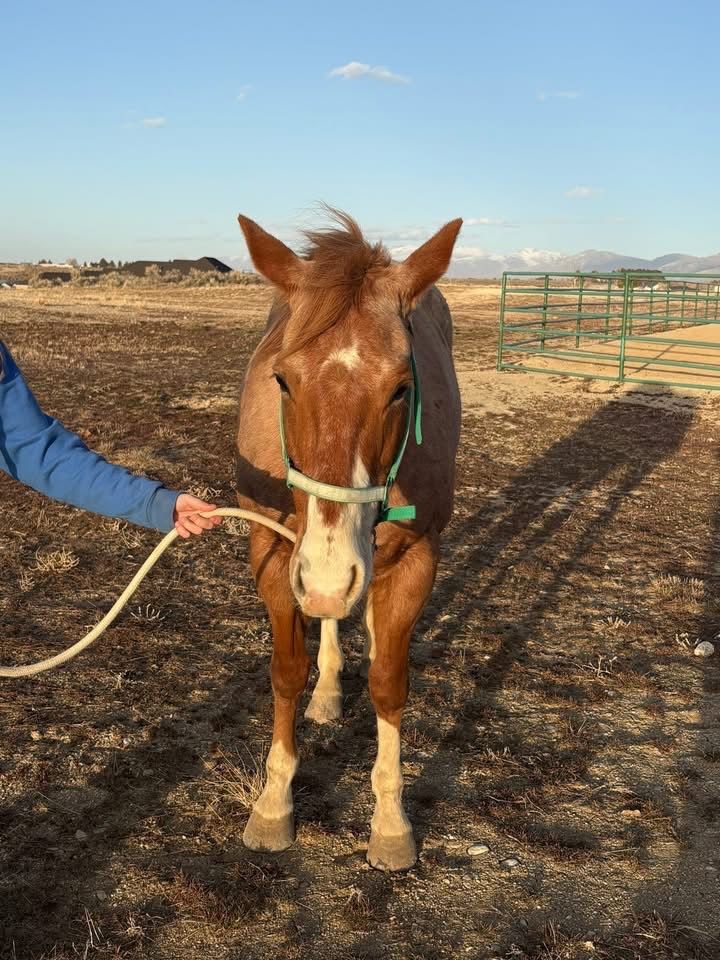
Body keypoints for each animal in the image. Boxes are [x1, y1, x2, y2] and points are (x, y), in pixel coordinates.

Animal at [234, 209, 462, 871]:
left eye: (401, 387)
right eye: (282, 380)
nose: (331, 577)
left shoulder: (415, 559)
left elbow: (389, 681)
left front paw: (390, 822)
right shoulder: (274, 552)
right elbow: (286, 672)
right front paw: (274, 804)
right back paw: (330, 688)